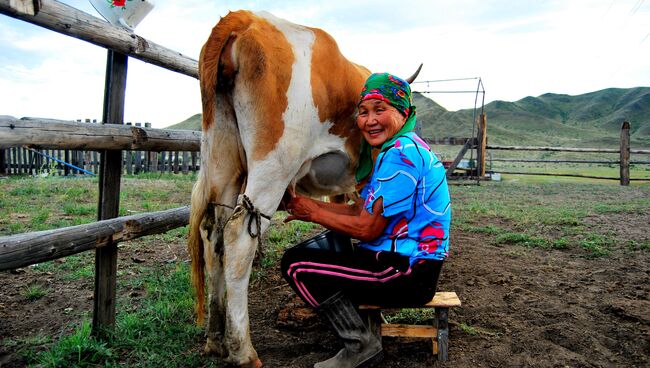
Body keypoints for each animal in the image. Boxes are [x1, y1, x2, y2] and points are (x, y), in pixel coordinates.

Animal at [187, 10, 420, 366]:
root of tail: (246, 19)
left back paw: (215, 339)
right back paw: (243, 351)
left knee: (214, 237)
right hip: (274, 163)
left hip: (221, 161)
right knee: (239, 238)